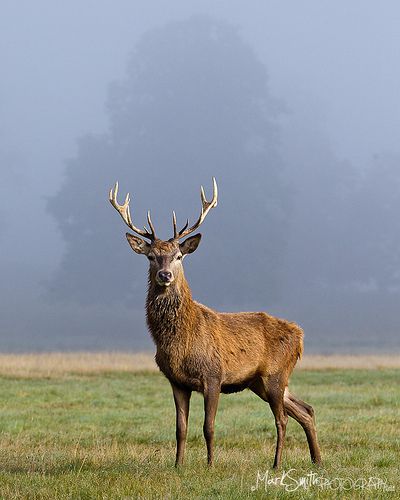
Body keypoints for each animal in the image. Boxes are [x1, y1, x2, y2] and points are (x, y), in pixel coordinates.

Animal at [109, 179, 322, 468]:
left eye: (178, 256)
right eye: (151, 256)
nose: (165, 275)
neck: (179, 343)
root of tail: (299, 335)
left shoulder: (213, 376)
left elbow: (208, 426)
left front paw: (210, 465)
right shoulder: (176, 381)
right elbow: (180, 428)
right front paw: (178, 465)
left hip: (276, 374)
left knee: (283, 418)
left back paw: (277, 463)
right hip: (260, 382)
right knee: (306, 409)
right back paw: (317, 460)